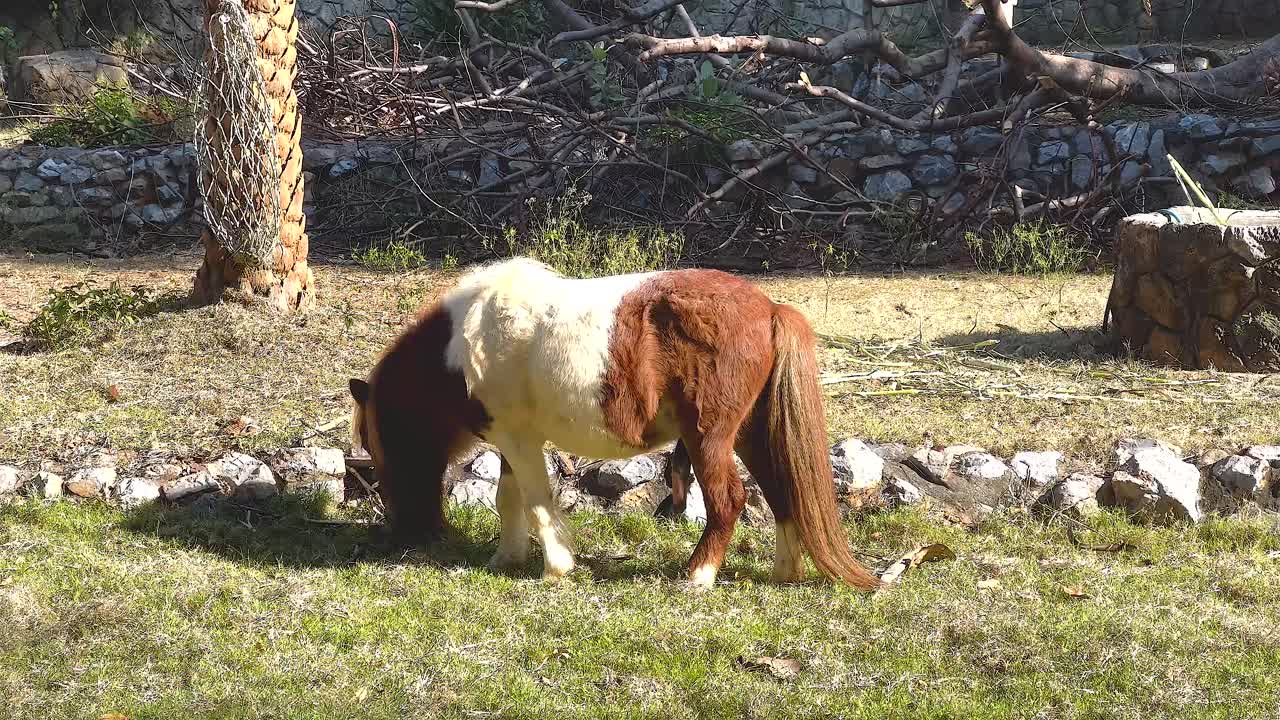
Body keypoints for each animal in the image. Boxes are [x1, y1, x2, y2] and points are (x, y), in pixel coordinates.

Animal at [348, 257, 880, 590]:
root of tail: (770, 308)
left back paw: (698, 575)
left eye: (378, 448)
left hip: (709, 438)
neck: (463, 344)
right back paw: (783, 572)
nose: (407, 535)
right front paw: (507, 557)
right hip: (745, 435)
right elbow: (509, 498)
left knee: (729, 500)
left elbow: (537, 500)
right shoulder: (512, 441)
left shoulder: (520, 440)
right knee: (779, 489)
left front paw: (556, 567)